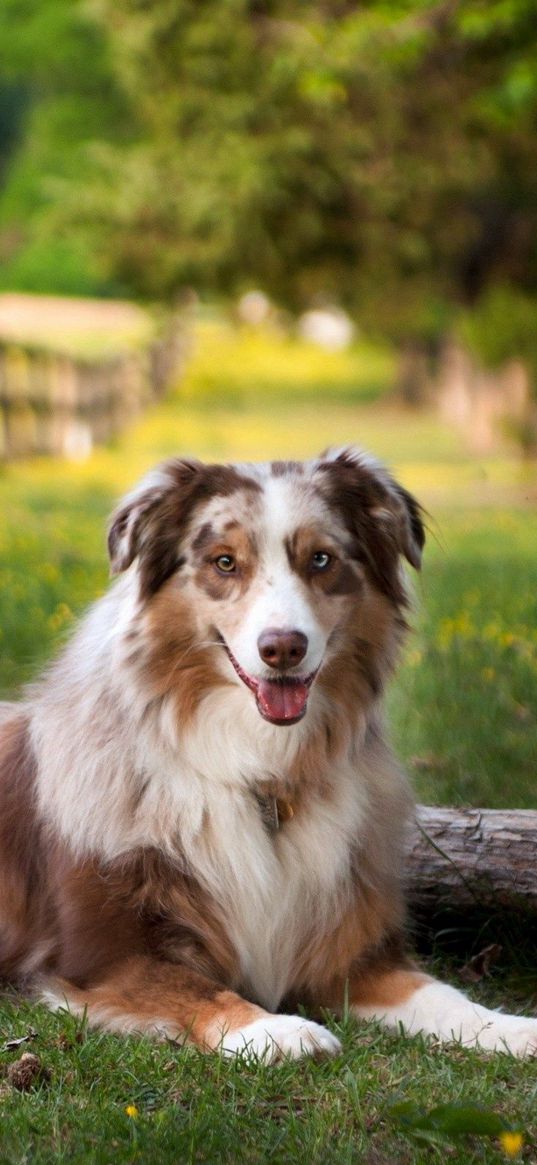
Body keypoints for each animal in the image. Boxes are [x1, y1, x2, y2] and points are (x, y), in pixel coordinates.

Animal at [1, 447, 535, 1067]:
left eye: (321, 559)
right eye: (225, 562)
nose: (283, 647)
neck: (260, 770)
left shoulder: (349, 956)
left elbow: (445, 996)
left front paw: (511, 1027)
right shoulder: (106, 960)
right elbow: (202, 991)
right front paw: (276, 1030)